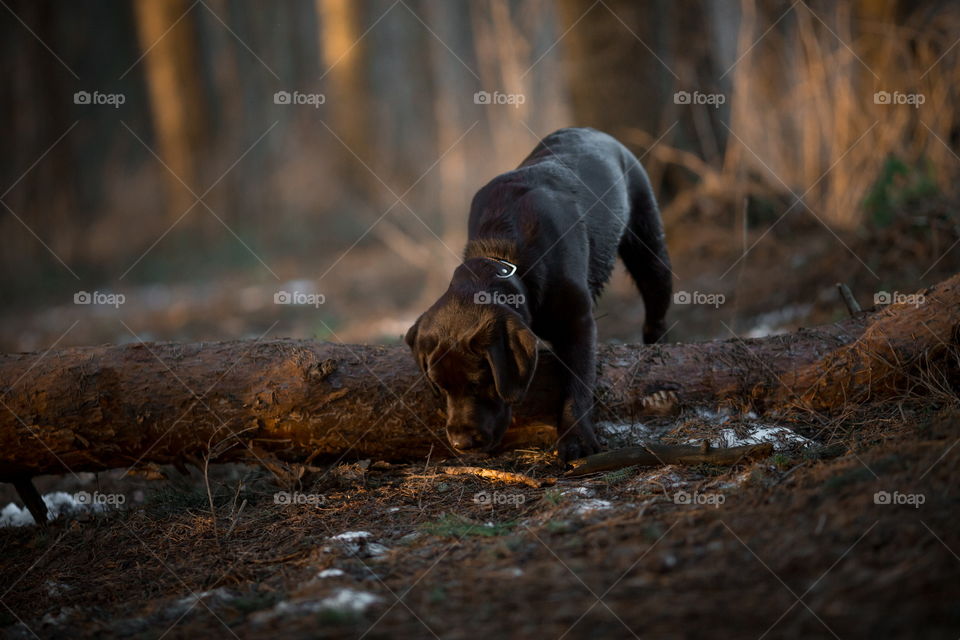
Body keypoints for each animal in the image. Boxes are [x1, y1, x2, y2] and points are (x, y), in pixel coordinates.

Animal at [404, 126, 668, 460]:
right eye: (441, 386)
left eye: (480, 383)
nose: (461, 444)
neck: (505, 256)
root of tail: (591, 130)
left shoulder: (577, 322)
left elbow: (577, 385)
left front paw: (576, 440)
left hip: (649, 250)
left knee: (656, 313)